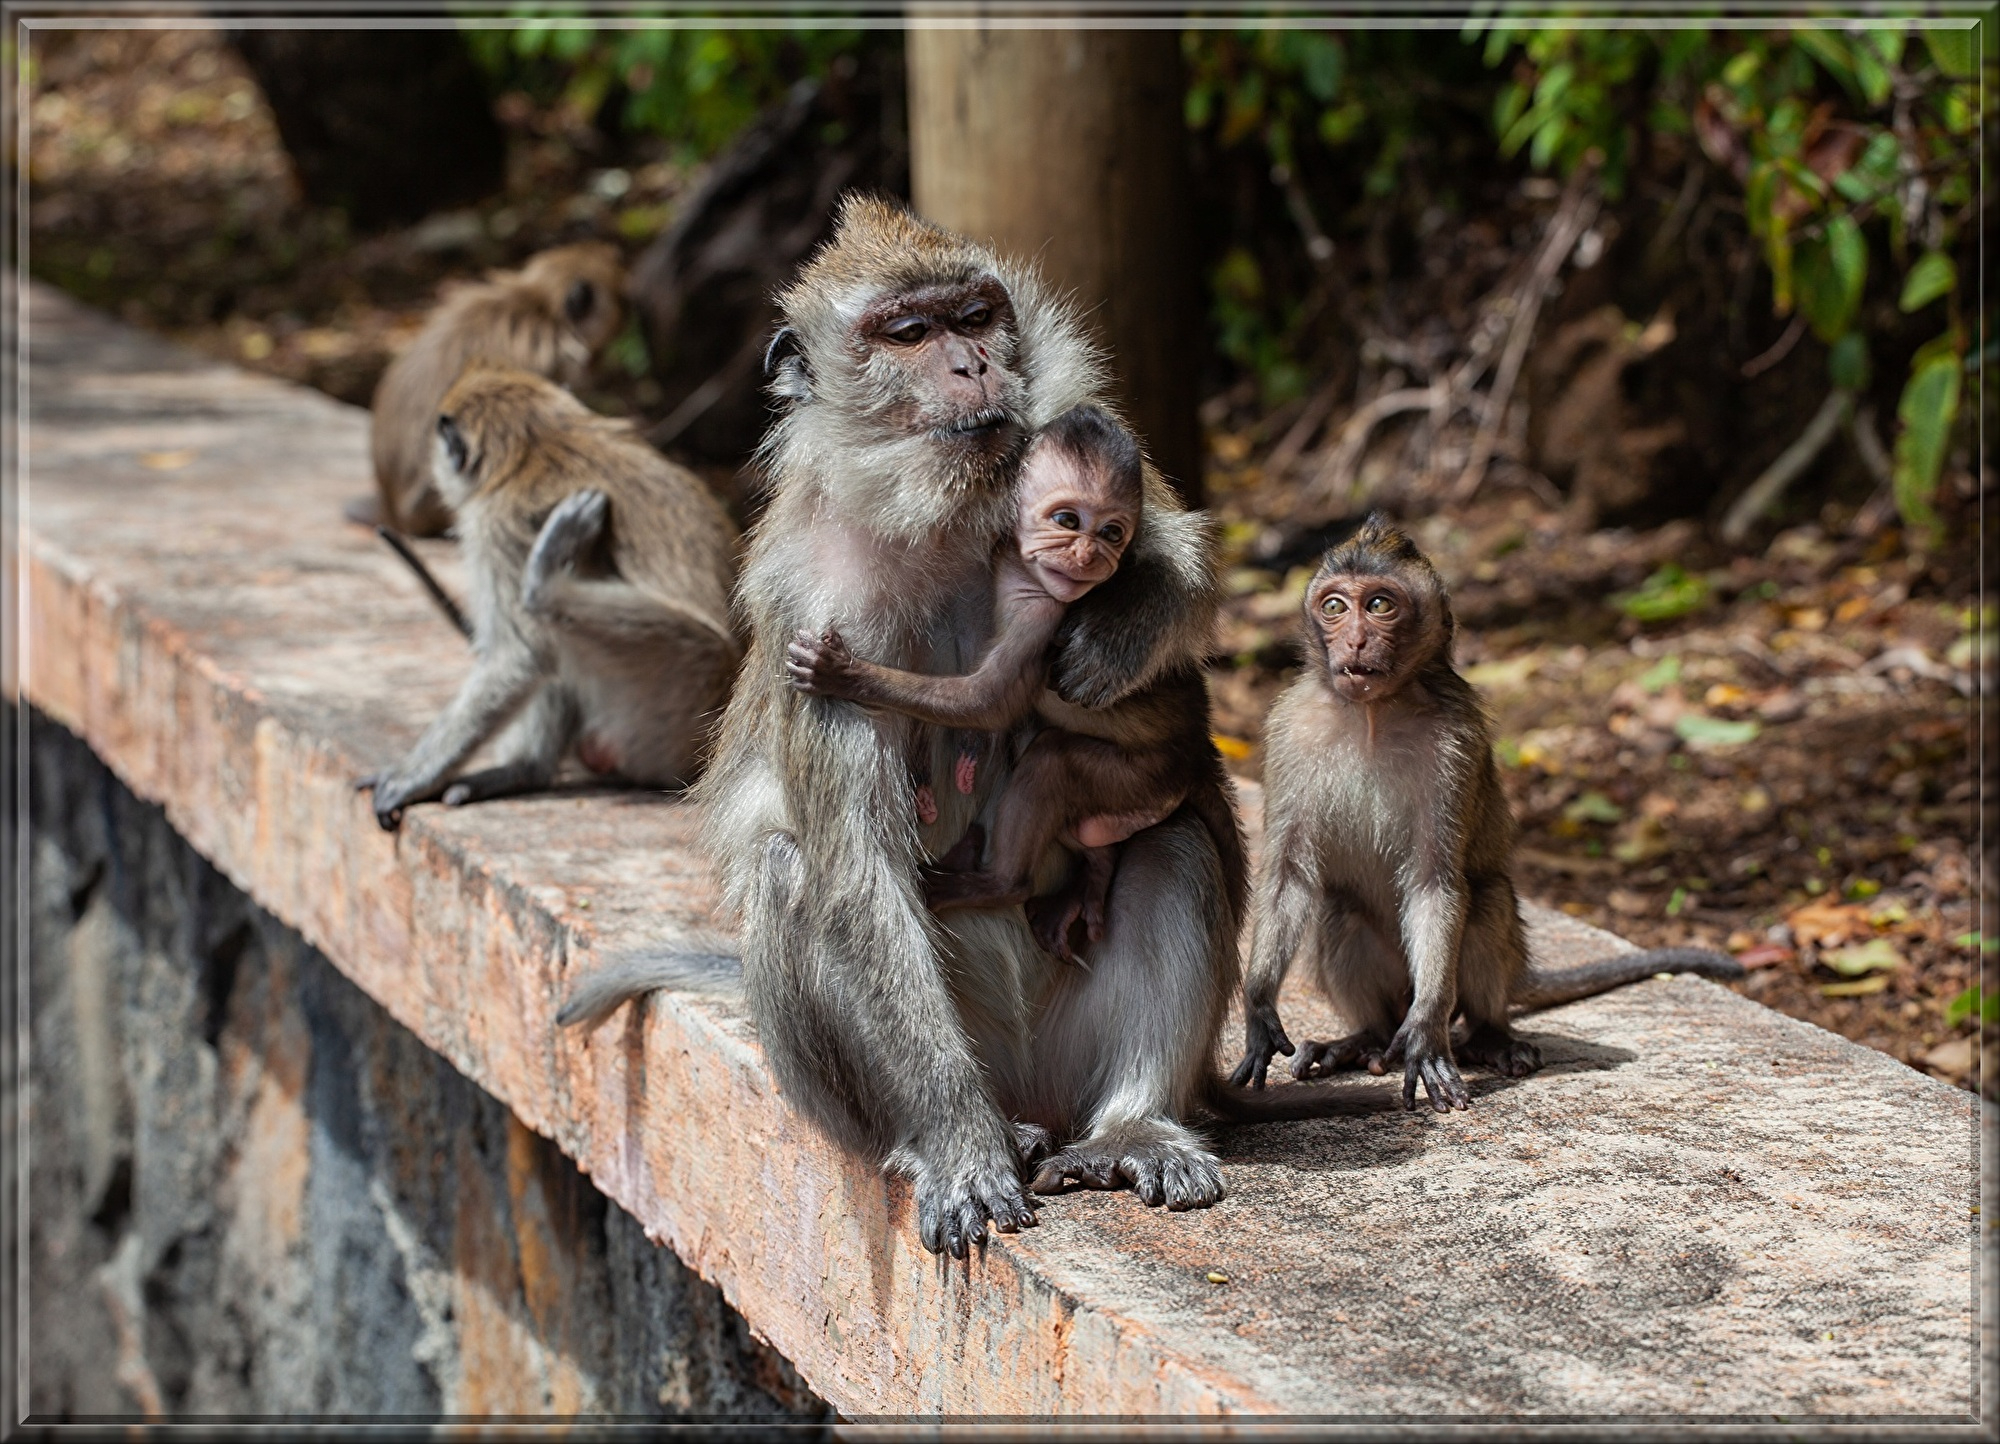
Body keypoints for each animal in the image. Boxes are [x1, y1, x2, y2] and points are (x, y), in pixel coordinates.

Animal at [359, 367, 739, 829]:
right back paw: (525, 771)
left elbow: (519, 657)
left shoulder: (494, 524)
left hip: (674, 701)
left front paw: (414, 777)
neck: (539, 441)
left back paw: (545, 585)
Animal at [783, 403, 1228, 961]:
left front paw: (843, 675)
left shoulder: (1043, 613)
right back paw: (1094, 874)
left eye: (1112, 533)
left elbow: (989, 701)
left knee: (1051, 763)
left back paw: (1001, 884)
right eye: (1067, 520)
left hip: (1144, 777)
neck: (1020, 566)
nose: (1088, 557)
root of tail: (1197, 749)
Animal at [1230, 514, 1744, 1111]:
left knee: (1486, 900)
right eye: (1334, 606)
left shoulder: (1457, 740)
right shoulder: (1289, 729)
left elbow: (1436, 880)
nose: (1355, 640)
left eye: (1380, 604)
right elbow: (1289, 874)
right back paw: (1364, 1040)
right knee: (1340, 910)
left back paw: (1487, 1036)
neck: (1374, 712)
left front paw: (1426, 1034)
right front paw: (1259, 1009)